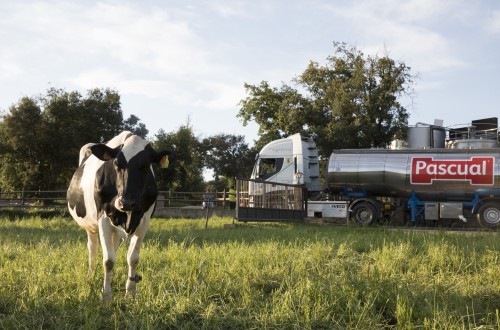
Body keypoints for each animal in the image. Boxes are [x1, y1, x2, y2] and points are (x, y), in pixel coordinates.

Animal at [67, 131, 171, 302]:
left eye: (145, 166)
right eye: (116, 164)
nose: (126, 202)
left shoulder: (144, 222)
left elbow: (133, 259)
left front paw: (130, 293)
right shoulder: (103, 219)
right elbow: (108, 260)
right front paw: (106, 296)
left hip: (115, 231)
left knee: (113, 248)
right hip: (91, 227)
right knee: (93, 249)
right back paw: (90, 276)